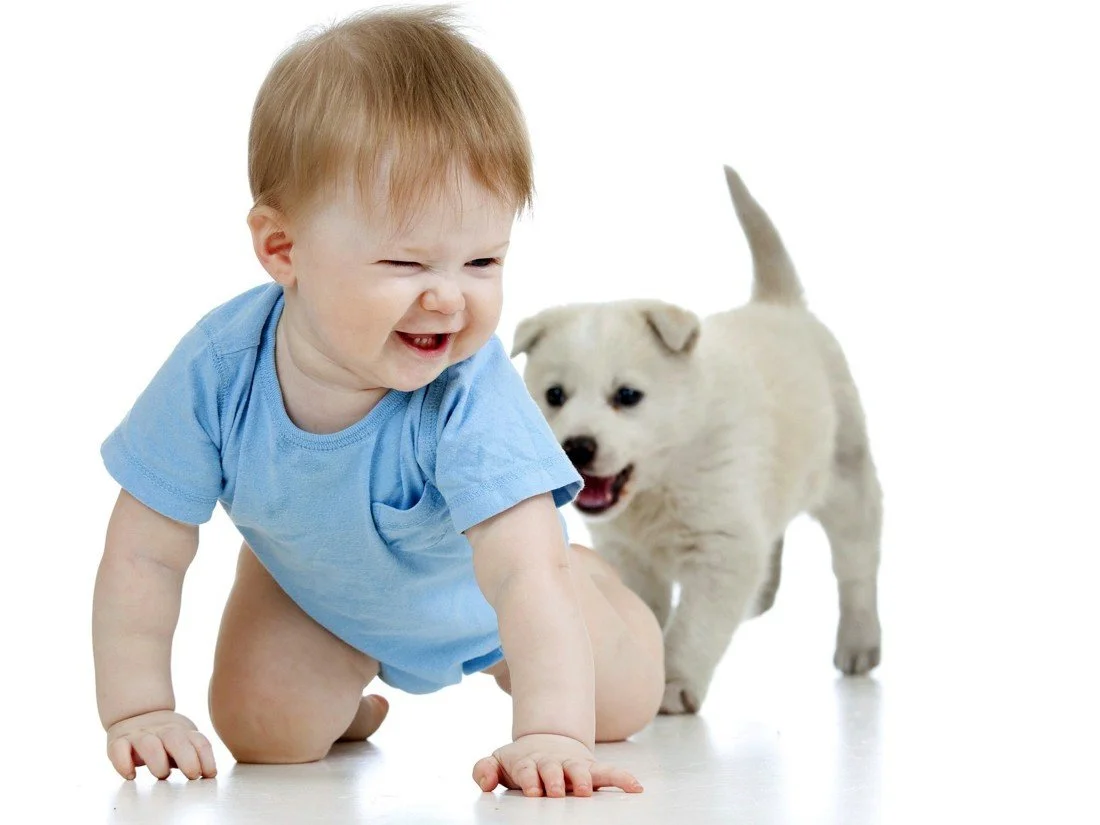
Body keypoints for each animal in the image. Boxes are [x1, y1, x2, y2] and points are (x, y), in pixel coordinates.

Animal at [514, 168, 884, 717]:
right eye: (554, 395)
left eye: (627, 395)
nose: (576, 446)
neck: (661, 482)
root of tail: (778, 304)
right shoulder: (626, 554)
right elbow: (640, 610)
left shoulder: (722, 548)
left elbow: (693, 626)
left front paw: (673, 683)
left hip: (848, 479)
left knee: (857, 567)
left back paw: (860, 644)